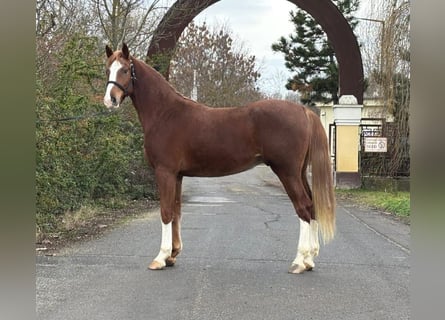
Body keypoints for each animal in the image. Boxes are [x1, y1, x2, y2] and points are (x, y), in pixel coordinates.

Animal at [103, 43, 332, 274]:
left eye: (124, 70)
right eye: (107, 70)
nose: (110, 100)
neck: (165, 114)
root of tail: (303, 111)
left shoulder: (164, 172)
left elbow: (166, 212)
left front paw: (160, 258)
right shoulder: (177, 175)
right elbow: (176, 211)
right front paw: (172, 255)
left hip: (287, 172)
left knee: (303, 207)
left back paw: (300, 261)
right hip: (299, 172)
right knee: (312, 206)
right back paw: (309, 260)